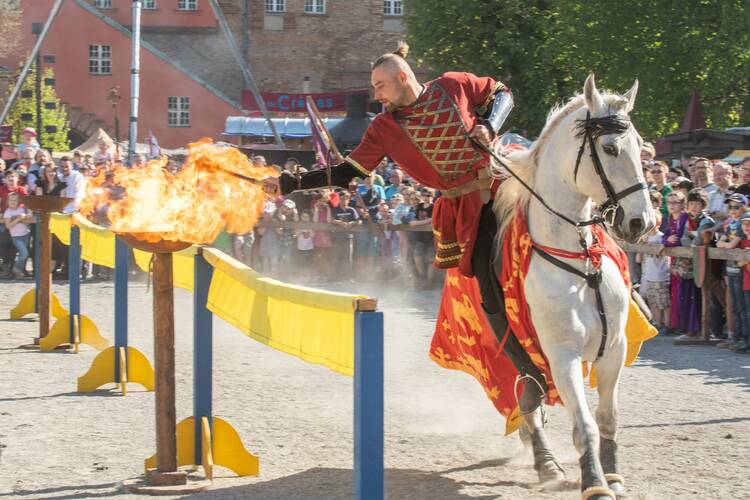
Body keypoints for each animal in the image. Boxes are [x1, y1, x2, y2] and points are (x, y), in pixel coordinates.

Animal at [496, 75, 656, 500]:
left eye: (641, 145)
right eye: (610, 148)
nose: (643, 222)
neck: (580, 264)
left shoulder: (614, 349)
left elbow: (607, 417)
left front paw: (613, 475)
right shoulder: (561, 355)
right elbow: (583, 424)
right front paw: (595, 483)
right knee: (529, 403)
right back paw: (547, 464)